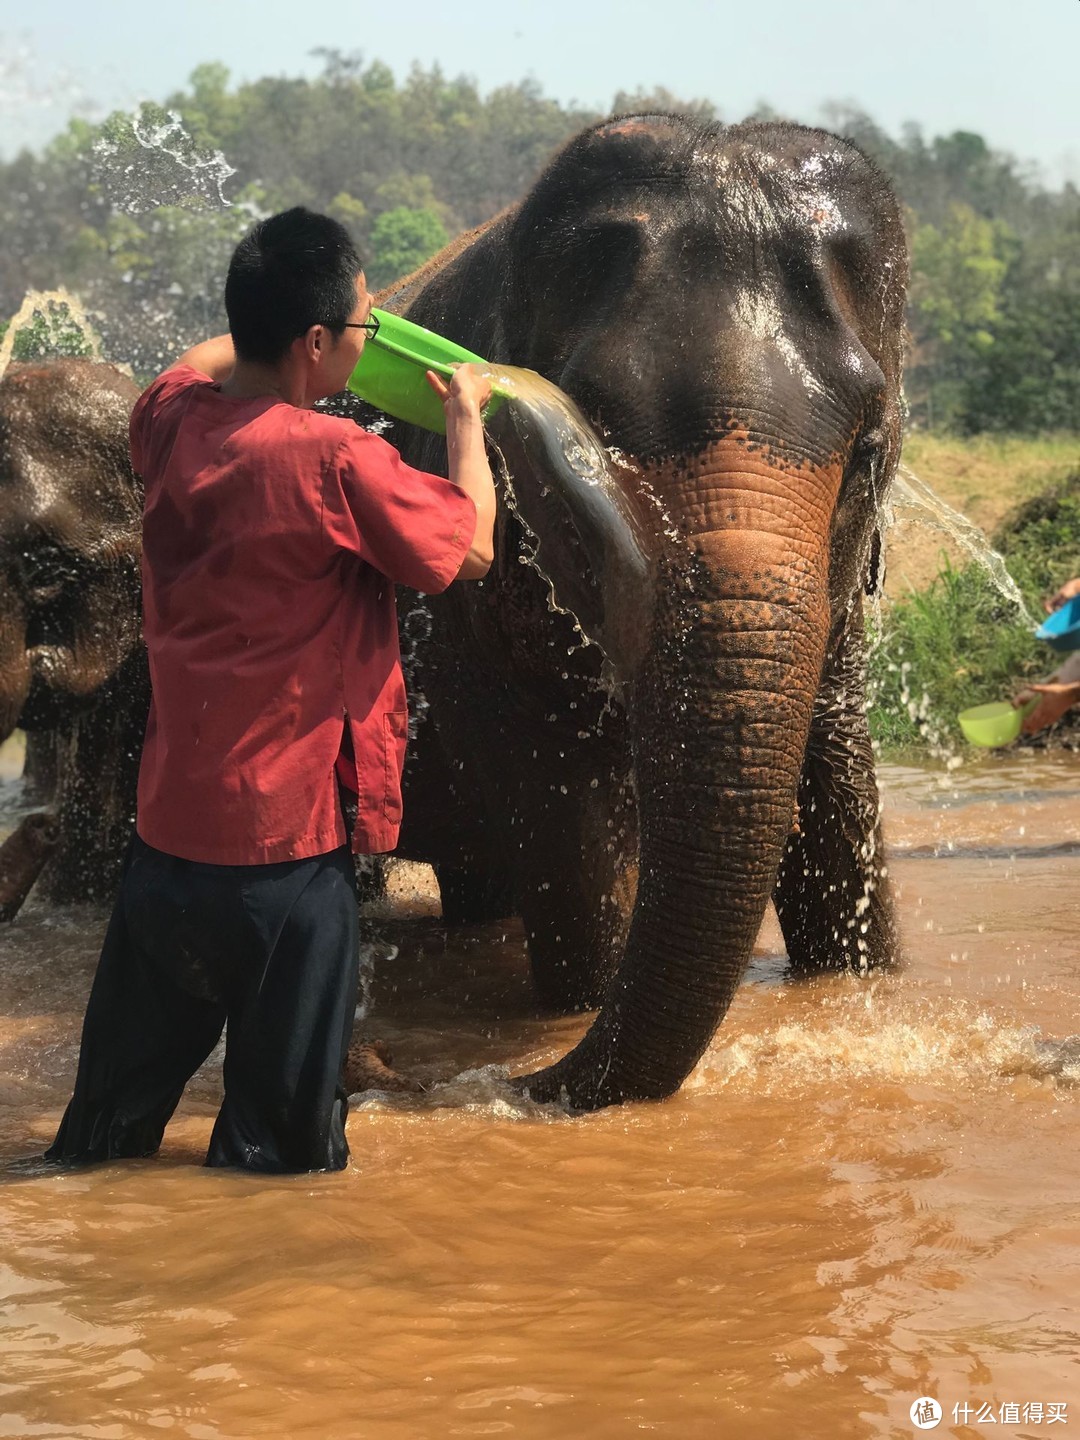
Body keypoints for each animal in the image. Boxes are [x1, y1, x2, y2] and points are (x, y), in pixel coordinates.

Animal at [368, 118, 910, 1111]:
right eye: (598, 429)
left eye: (867, 454)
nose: (509, 1084)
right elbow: (576, 855)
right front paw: (573, 1012)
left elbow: (841, 807)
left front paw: (858, 984)